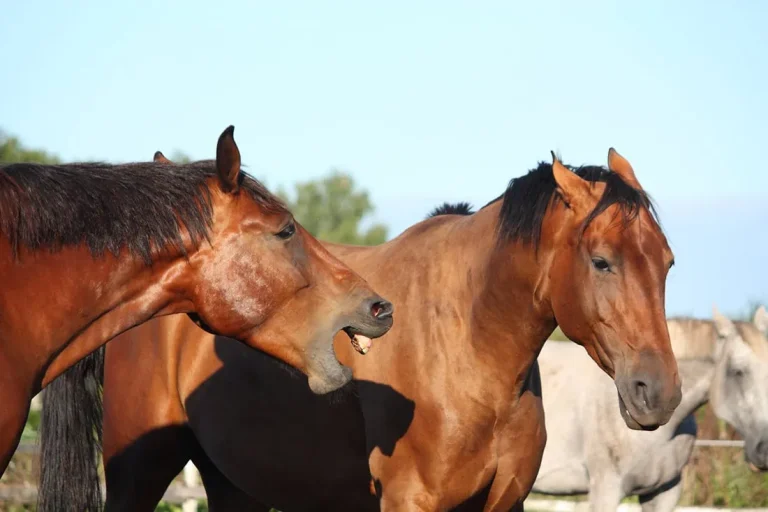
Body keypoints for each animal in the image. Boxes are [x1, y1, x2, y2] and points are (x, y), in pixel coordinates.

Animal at [40, 148, 682, 511]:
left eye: (668, 262)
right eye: (601, 261)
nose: (657, 392)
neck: (469, 350)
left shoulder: (505, 503)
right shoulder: (410, 503)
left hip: (232, 481)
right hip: (139, 469)